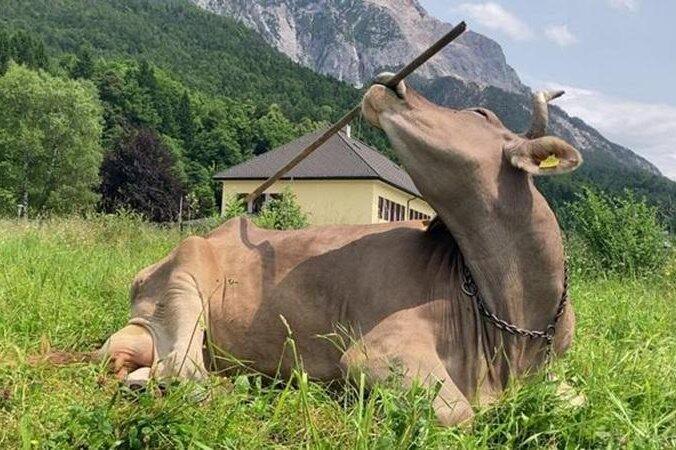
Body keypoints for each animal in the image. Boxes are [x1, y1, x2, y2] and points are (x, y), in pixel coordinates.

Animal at [92, 73, 582, 426]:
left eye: (480, 112)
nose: (391, 82)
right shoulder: (376, 352)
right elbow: (461, 413)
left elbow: (576, 398)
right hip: (183, 285)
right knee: (184, 372)